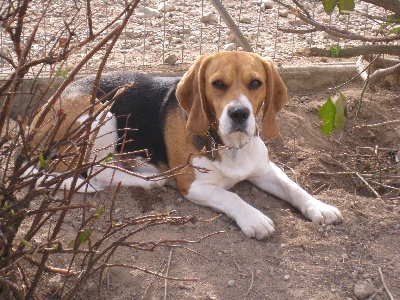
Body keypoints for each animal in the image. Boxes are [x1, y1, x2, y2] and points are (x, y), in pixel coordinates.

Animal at [32, 52, 344, 239]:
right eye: (218, 84)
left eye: (256, 83)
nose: (239, 113)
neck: (230, 146)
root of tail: (41, 113)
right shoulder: (194, 186)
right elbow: (232, 196)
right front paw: (254, 217)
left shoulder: (265, 169)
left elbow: (293, 187)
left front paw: (319, 206)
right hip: (101, 114)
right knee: (88, 169)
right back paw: (146, 179)